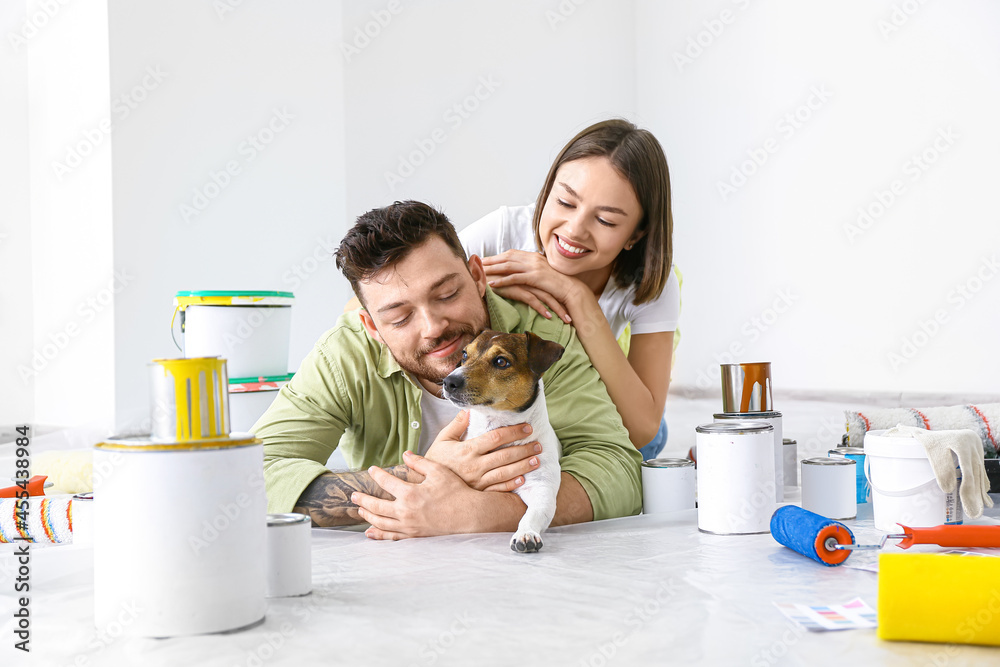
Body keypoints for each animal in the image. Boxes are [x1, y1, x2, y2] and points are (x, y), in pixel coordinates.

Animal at [444, 330, 568, 552]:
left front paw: (526, 534)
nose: (448, 381)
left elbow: (532, 514)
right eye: (465, 354)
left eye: (501, 361)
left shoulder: (541, 488)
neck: (495, 423)